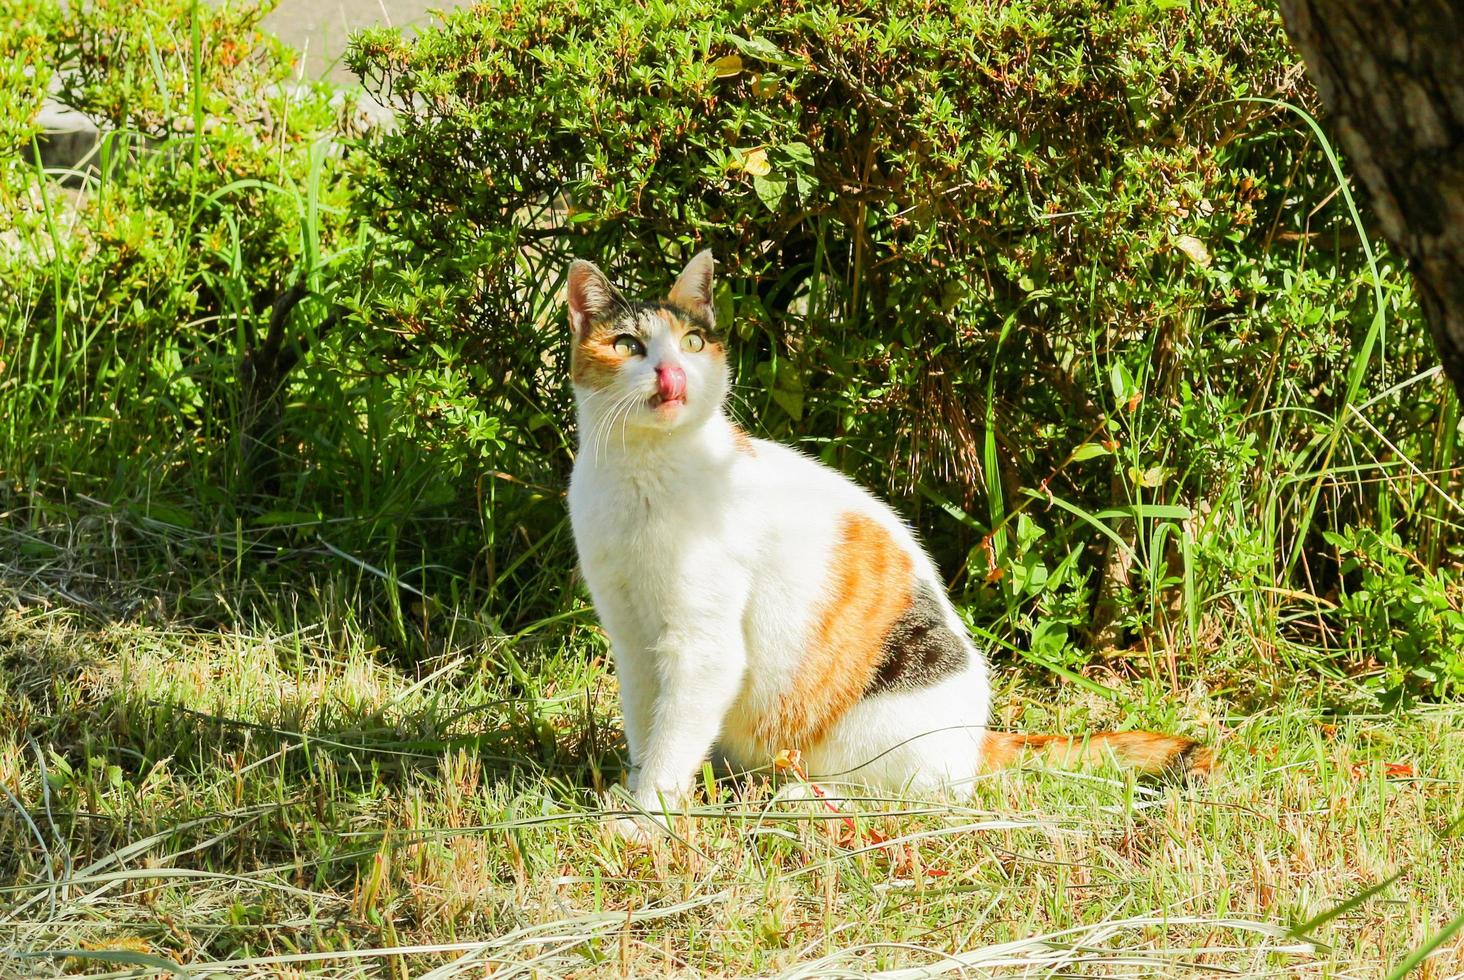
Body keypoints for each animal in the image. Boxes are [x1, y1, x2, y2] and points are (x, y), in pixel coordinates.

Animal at [562, 250, 1212, 832]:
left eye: (693, 344)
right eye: (628, 346)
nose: (671, 375)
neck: (642, 474)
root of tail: (977, 738)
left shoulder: (703, 646)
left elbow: (674, 739)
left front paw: (647, 819)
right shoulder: (631, 636)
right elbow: (646, 725)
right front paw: (630, 793)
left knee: (922, 797)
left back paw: (803, 798)